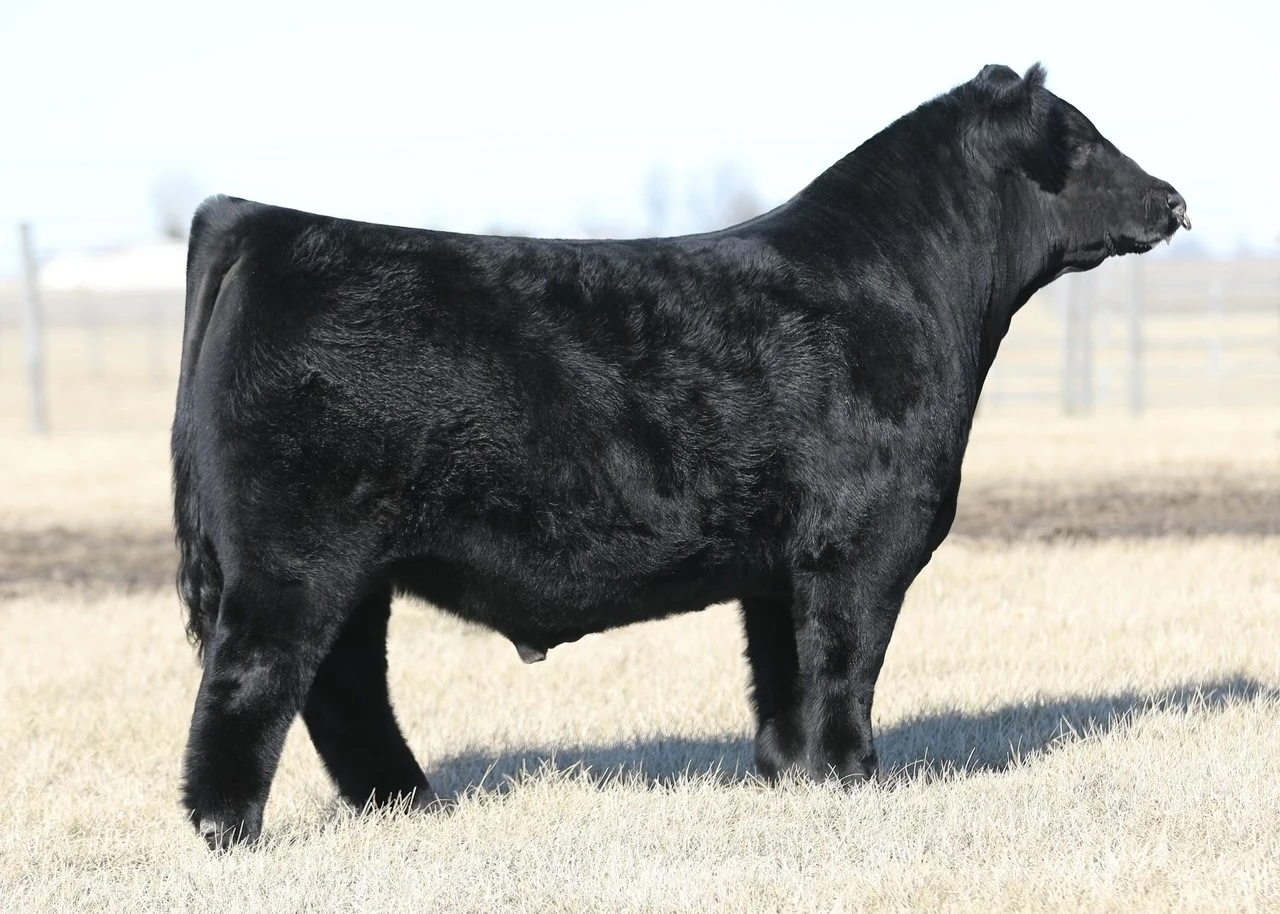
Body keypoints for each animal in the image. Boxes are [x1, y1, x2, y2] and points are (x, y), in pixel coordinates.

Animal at [172, 63, 1188, 849]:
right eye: (1080, 140)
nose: (1174, 199)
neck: (911, 293)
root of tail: (262, 220)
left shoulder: (778, 567)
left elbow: (784, 680)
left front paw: (790, 776)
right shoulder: (862, 547)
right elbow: (846, 665)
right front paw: (856, 777)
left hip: (351, 572)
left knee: (343, 689)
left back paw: (410, 806)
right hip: (293, 563)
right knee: (255, 681)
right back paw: (231, 831)